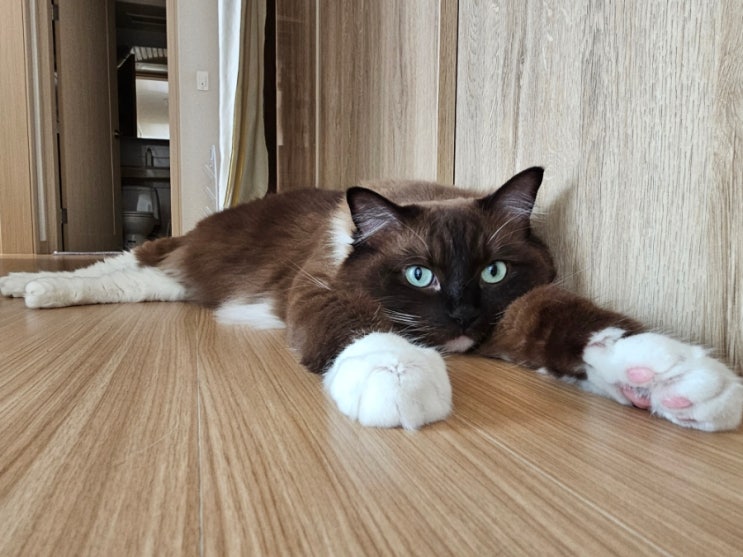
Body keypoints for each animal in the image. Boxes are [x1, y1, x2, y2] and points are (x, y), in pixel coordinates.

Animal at [1, 167, 741, 431]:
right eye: (418, 276)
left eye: (493, 271)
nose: (462, 315)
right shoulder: (323, 289)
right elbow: (365, 329)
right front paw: (399, 375)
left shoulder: (515, 310)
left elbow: (587, 328)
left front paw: (667, 377)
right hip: (189, 258)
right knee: (123, 265)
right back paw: (32, 285)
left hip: (184, 281)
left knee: (139, 281)